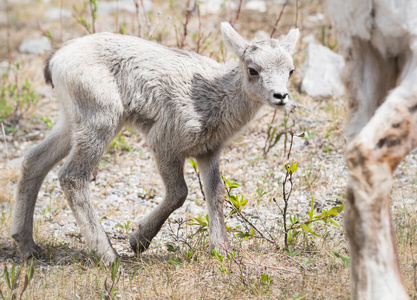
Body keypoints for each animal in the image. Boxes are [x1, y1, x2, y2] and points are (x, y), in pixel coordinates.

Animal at [11, 22, 298, 262]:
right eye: (253, 70)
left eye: (291, 71)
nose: (280, 96)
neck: (214, 98)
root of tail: (56, 60)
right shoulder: (164, 143)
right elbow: (179, 193)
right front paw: (138, 241)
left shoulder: (208, 152)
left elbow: (215, 194)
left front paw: (222, 250)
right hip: (101, 119)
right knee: (72, 176)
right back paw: (109, 255)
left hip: (71, 120)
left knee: (34, 161)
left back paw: (27, 246)